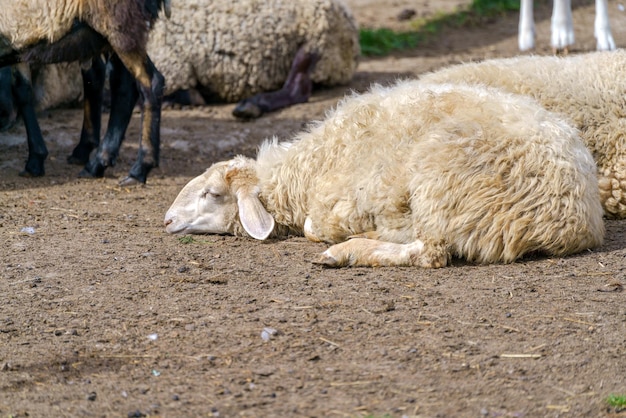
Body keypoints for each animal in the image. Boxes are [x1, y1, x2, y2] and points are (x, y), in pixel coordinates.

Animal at [163, 80, 604, 270]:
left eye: (211, 193)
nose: (165, 220)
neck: (308, 168)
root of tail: (576, 222)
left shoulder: (347, 197)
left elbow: (311, 227)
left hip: (440, 180)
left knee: (431, 253)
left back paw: (346, 251)